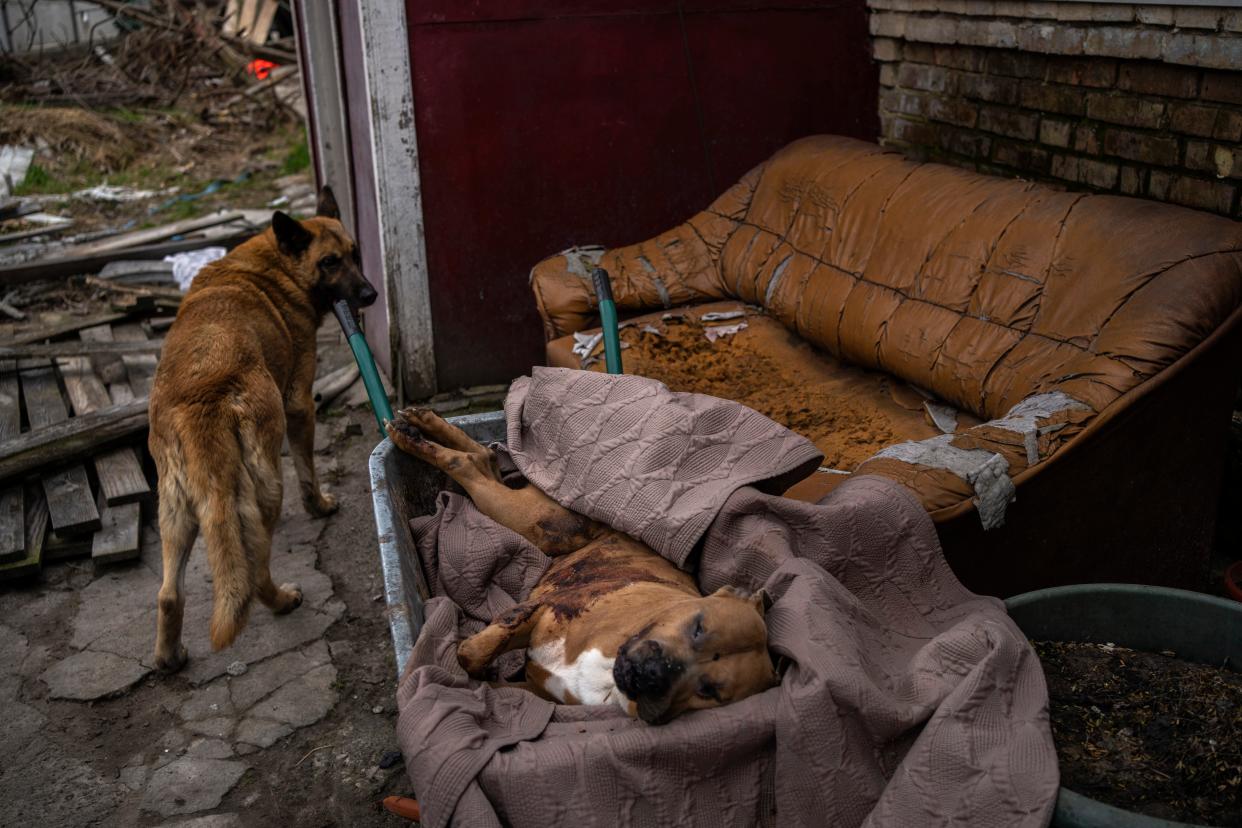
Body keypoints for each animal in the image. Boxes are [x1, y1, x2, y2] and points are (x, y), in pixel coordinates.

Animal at [149, 189, 372, 675]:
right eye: (330, 262)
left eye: (356, 254)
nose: (370, 293)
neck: (274, 264)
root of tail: (201, 400)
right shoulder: (300, 404)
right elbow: (308, 471)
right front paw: (320, 505)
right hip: (268, 486)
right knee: (254, 576)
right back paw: (283, 600)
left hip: (175, 515)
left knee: (169, 593)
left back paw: (169, 656)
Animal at [387, 407, 775, 724]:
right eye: (697, 626)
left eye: (709, 690)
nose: (652, 673)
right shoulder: (545, 613)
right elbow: (471, 652)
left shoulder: (536, 694)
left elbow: (473, 665)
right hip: (540, 522)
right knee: (468, 464)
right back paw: (412, 433)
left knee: (481, 461)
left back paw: (417, 429)